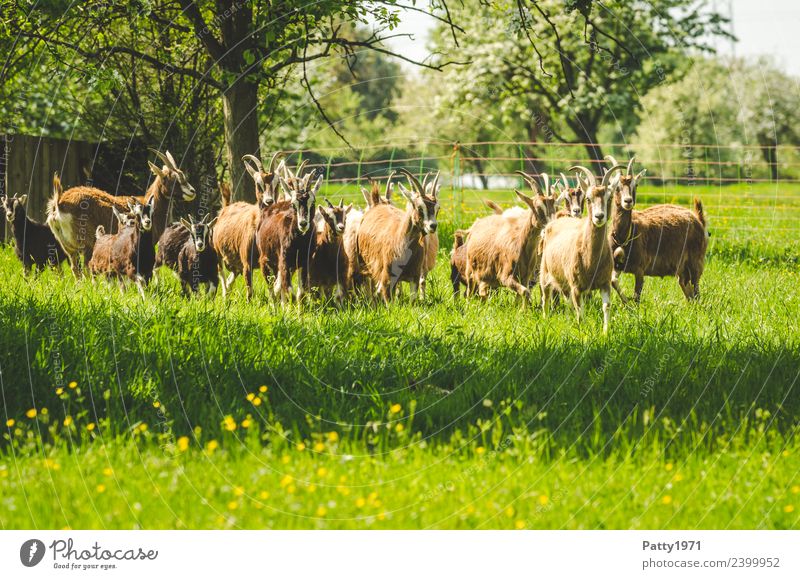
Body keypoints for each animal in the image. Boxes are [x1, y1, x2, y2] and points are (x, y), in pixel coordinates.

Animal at [47, 150, 196, 276]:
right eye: (171, 179)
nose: (192, 191)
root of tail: (59, 203)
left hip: (69, 247)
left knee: (75, 269)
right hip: (87, 245)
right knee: (86, 268)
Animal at [255, 164, 320, 304]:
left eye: (312, 203)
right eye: (293, 204)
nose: (303, 224)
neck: (300, 242)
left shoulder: (304, 262)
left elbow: (301, 293)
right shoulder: (284, 261)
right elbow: (289, 291)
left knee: (277, 286)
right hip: (266, 260)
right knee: (272, 288)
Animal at [460, 172, 560, 306]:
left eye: (554, 207)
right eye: (538, 207)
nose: (551, 227)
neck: (521, 245)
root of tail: (476, 224)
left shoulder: (525, 277)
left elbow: (522, 295)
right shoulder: (505, 276)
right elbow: (525, 292)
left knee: (482, 291)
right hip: (471, 270)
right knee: (469, 292)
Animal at [536, 165, 624, 334]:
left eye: (609, 198)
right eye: (588, 199)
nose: (599, 216)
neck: (590, 260)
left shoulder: (604, 283)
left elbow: (606, 306)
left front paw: (605, 332)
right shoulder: (576, 286)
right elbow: (580, 311)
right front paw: (582, 332)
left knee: (567, 301)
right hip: (545, 272)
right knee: (545, 297)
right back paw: (545, 319)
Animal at [604, 157, 708, 304]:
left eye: (635, 185)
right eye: (617, 187)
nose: (628, 201)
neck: (624, 237)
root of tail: (698, 219)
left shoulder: (640, 269)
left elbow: (637, 296)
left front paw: (631, 305)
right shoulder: (617, 265)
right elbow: (613, 281)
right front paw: (626, 301)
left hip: (696, 259)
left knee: (696, 287)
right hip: (682, 268)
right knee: (686, 287)